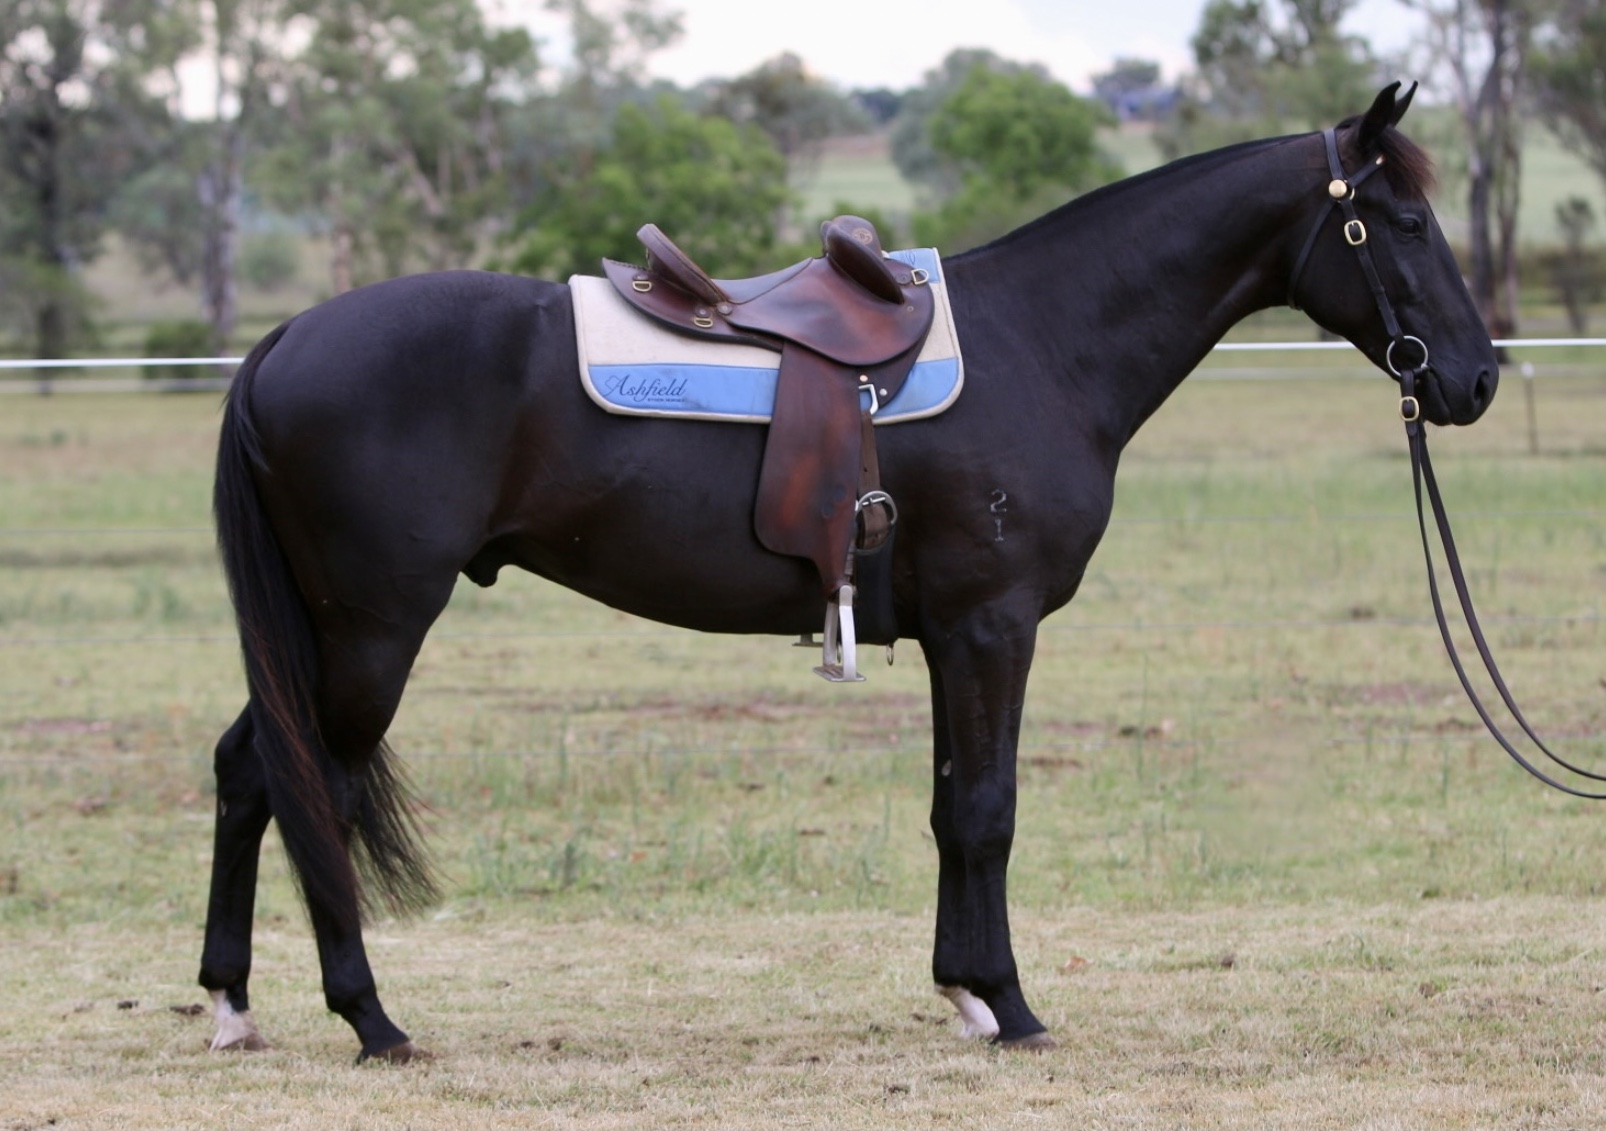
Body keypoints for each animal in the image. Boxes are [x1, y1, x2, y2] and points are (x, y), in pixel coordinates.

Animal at [199, 83, 1498, 1061]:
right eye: (1402, 223)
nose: (1474, 377)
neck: (1047, 339)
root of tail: (283, 339)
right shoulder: (993, 626)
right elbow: (987, 811)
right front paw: (1010, 1006)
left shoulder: (948, 636)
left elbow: (948, 808)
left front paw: (964, 991)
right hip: (371, 630)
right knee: (302, 780)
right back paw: (370, 1020)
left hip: (326, 634)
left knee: (249, 771)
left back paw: (231, 1006)